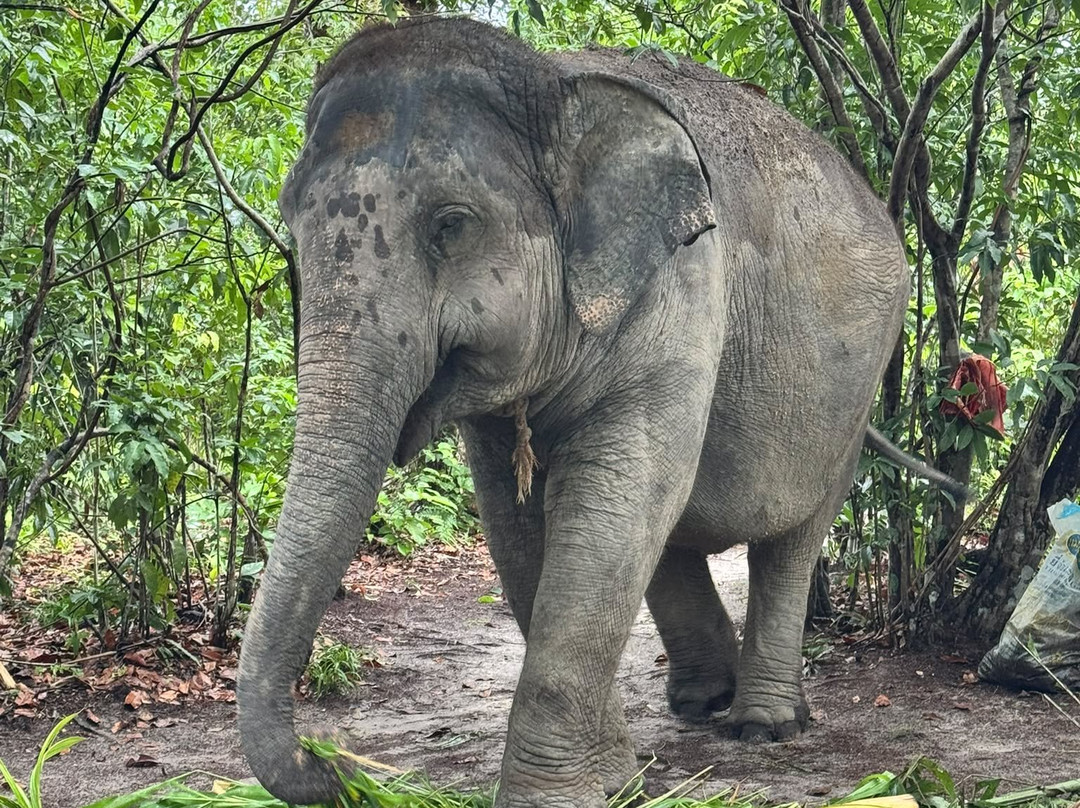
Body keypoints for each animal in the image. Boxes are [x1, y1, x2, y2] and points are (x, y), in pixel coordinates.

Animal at [236, 17, 962, 807]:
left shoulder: (683, 286)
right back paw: (700, 701)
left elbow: (614, 492)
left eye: (451, 224)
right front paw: (615, 777)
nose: (331, 764)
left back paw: (762, 726)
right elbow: (518, 518)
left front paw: (558, 794)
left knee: (789, 537)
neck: (552, 84)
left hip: (857, 388)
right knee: (671, 529)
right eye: (289, 218)